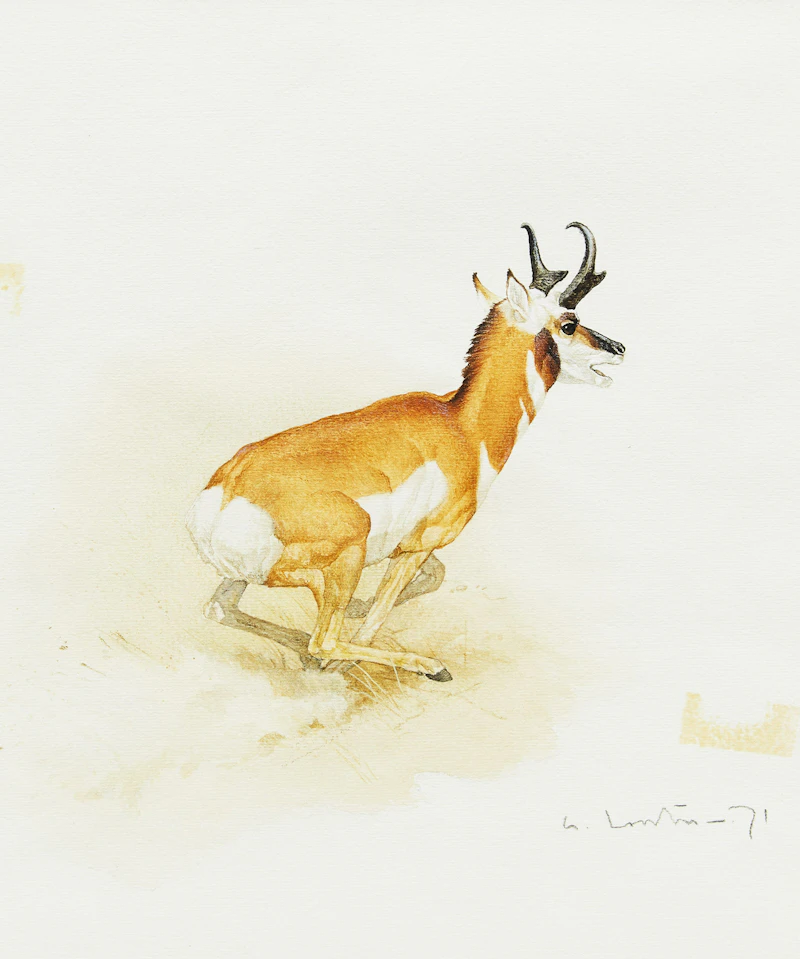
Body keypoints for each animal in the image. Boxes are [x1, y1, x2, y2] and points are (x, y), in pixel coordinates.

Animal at [186, 223, 625, 682]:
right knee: (323, 637)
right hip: (349, 552)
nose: (619, 349)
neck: (462, 426)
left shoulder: (412, 549)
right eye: (569, 323)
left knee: (221, 609)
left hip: (247, 576)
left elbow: (433, 578)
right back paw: (420, 664)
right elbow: (379, 615)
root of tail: (224, 496)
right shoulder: (419, 546)